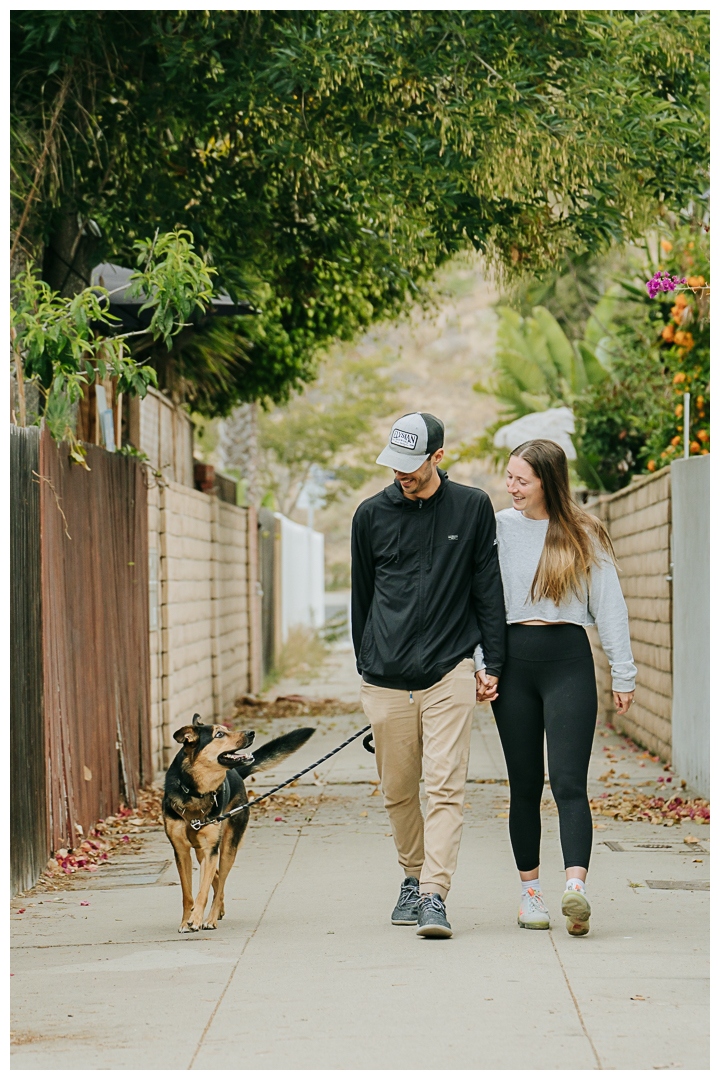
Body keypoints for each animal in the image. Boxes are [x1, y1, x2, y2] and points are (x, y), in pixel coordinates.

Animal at [165, 712, 313, 933]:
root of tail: (237, 773)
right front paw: (185, 921)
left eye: (226, 730)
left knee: (220, 881)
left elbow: (202, 892)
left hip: (227, 847)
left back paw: (211, 918)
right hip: (202, 851)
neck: (195, 791)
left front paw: (197, 918)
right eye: (219, 734)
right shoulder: (182, 850)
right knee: (216, 878)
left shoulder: (211, 848)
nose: (251, 733)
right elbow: (188, 894)